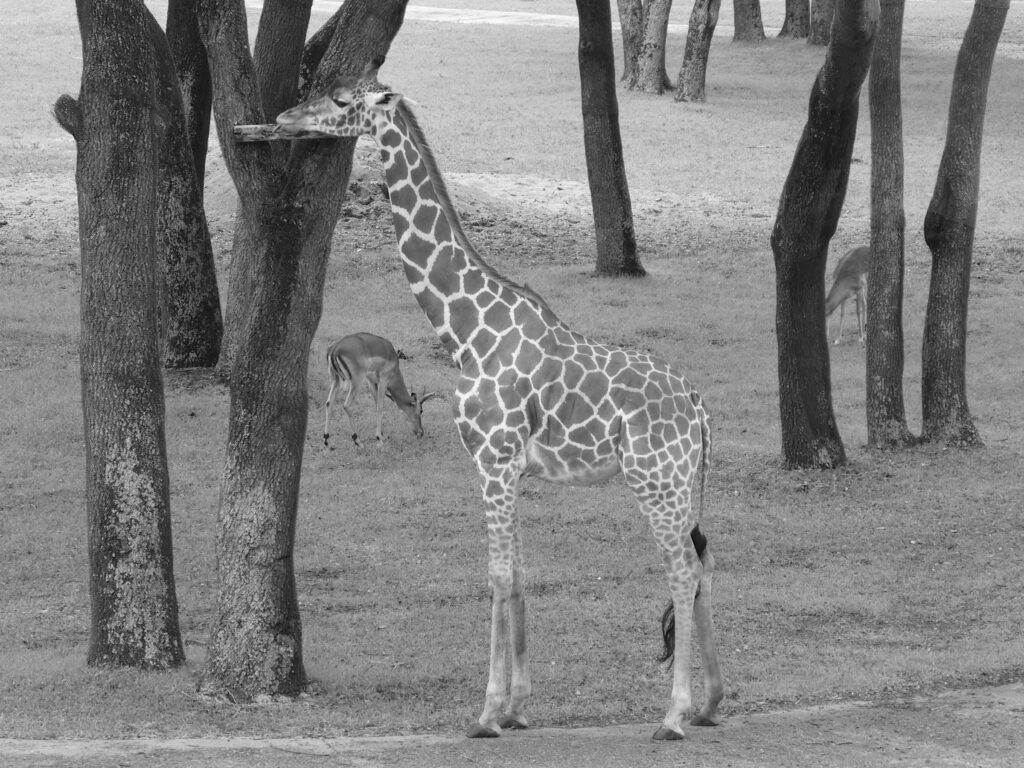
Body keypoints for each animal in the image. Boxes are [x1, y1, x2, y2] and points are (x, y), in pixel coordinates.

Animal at [275, 65, 724, 741]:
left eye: (341, 97)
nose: (284, 118)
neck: (465, 332)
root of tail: (698, 409)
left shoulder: (490, 458)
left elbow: (496, 574)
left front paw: (486, 712)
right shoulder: (510, 467)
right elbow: (517, 573)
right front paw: (516, 708)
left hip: (655, 479)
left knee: (682, 570)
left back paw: (672, 716)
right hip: (677, 483)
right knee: (700, 565)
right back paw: (709, 703)